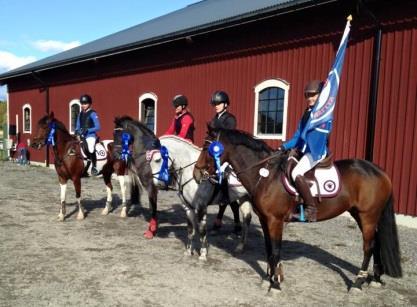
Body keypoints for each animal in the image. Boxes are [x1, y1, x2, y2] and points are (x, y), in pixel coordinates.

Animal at [193, 126, 402, 292]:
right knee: (376, 243)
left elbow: (276, 250)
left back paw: (358, 283)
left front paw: (276, 284)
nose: (196, 173)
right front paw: (269, 278)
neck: (266, 176)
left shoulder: (275, 221)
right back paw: (374, 278)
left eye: (207, 148)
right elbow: (269, 250)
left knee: (368, 247)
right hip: (360, 215)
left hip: (368, 216)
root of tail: (379, 171)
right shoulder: (264, 220)